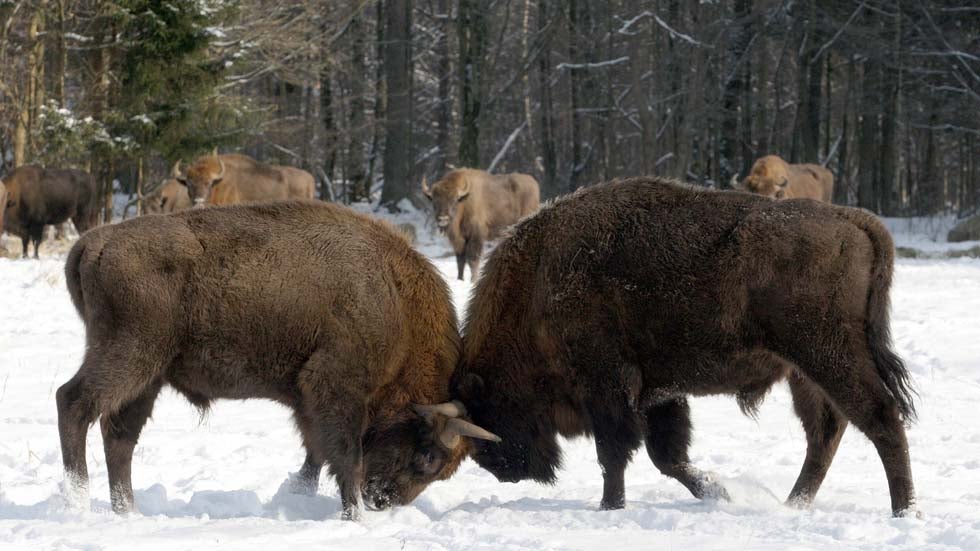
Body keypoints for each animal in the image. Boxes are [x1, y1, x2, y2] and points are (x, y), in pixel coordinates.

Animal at [57, 201, 499, 520]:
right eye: (428, 457)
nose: (382, 501)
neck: (394, 297)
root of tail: (91, 244)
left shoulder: (308, 401)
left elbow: (315, 456)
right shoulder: (336, 387)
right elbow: (345, 457)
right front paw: (353, 516)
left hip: (148, 378)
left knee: (119, 436)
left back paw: (127, 512)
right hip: (129, 355)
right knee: (73, 403)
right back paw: (78, 503)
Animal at [453, 177, 917, 517]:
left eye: (490, 409)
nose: (506, 472)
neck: (538, 282)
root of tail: (852, 218)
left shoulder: (607, 387)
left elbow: (615, 453)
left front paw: (609, 507)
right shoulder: (657, 392)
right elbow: (666, 456)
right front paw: (719, 493)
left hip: (828, 355)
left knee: (881, 419)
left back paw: (904, 511)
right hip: (804, 372)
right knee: (826, 432)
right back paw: (794, 504)